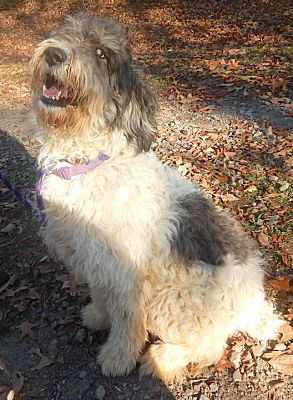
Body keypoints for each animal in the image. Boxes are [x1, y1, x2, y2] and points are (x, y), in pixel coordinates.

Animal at [30, 14, 280, 382]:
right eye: (63, 32)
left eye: (102, 53)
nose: (54, 54)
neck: (89, 161)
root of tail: (252, 302)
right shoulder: (95, 259)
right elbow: (102, 296)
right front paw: (97, 316)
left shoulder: (126, 272)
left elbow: (126, 318)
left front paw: (118, 356)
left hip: (171, 300)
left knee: (211, 347)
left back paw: (164, 358)